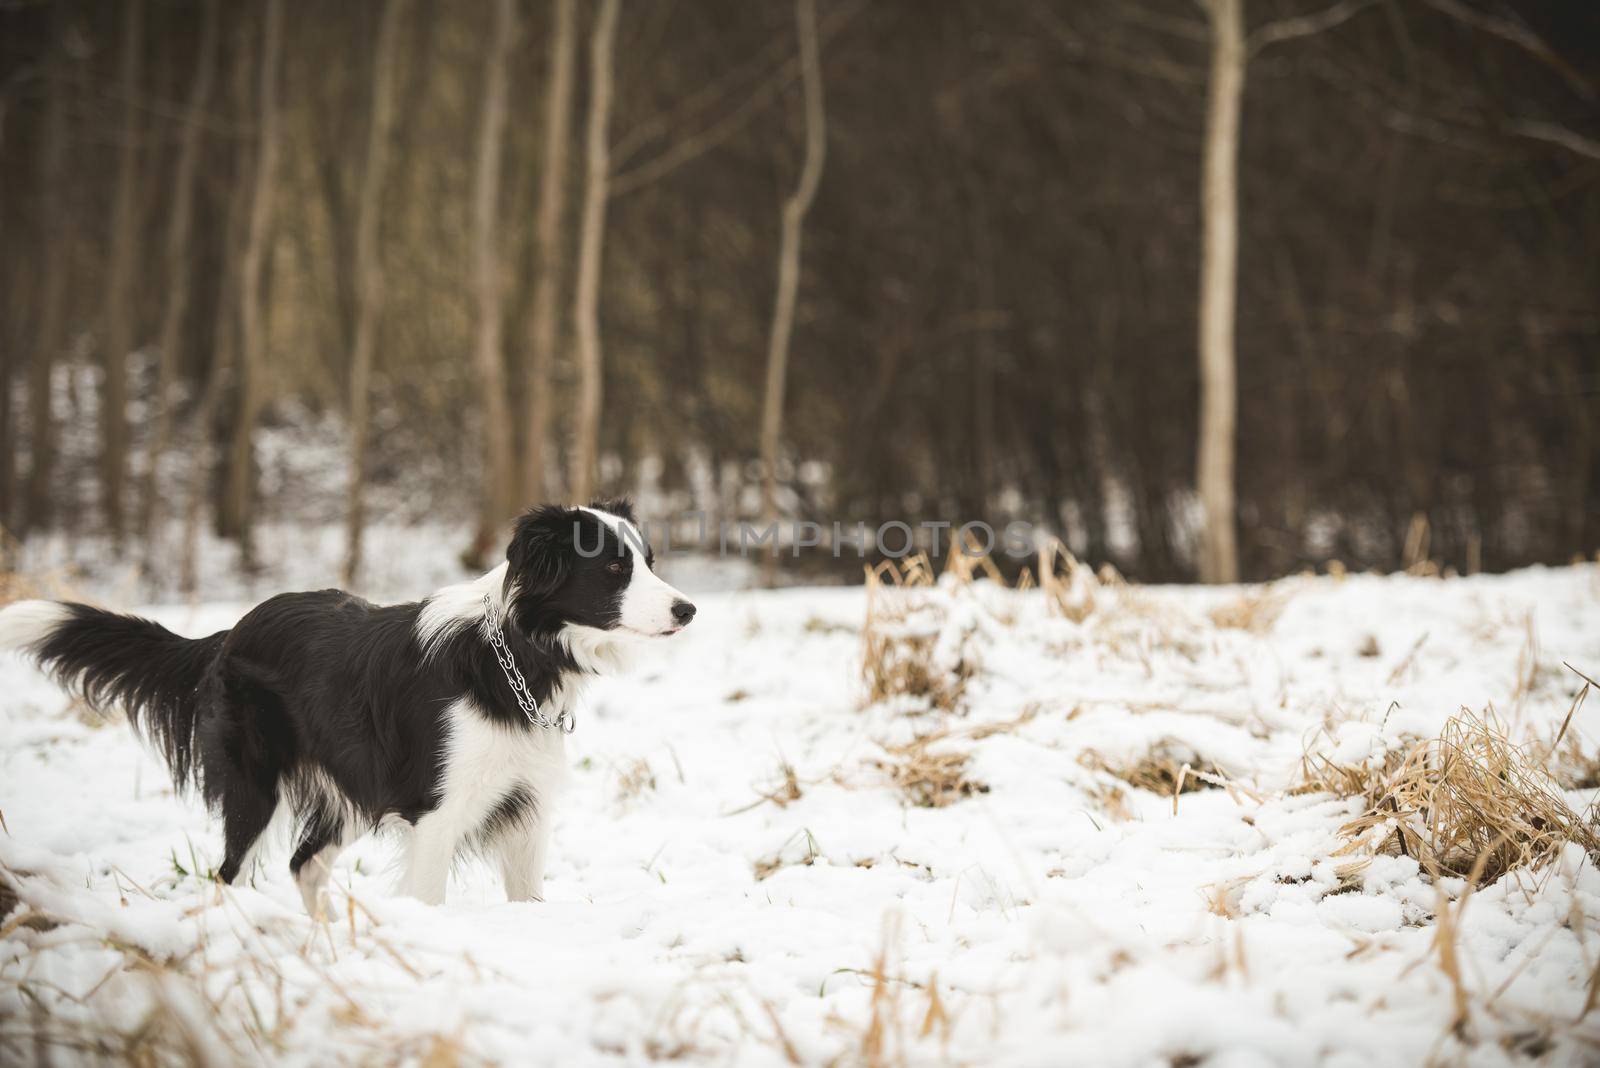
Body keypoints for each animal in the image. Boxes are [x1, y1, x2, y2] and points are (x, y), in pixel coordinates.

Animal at [0, 502, 694, 920]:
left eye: (649, 561)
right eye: (613, 566)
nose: (687, 609)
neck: (516, 653)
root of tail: (227, 634)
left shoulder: (525, 809)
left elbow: (529, 900)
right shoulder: (435, 812)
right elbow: (428, 897)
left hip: (353, 787)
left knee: (303, 863)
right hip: (258, 785)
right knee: (230, 872)